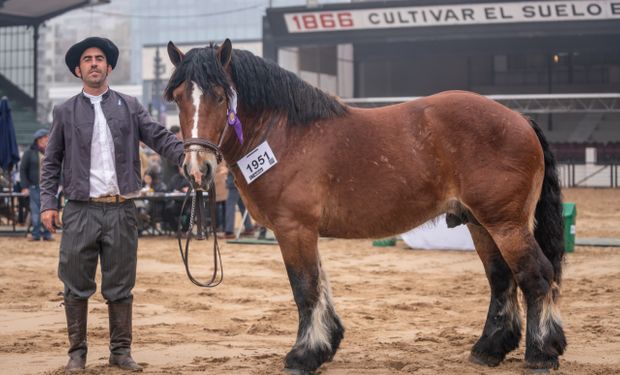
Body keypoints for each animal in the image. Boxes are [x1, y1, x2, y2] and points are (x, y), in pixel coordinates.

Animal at [163, 39, 568, 374]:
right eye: (179, 96)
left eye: (220, 96)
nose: (198, 168)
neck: (283, 134)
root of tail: (520, 119)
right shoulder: (304, 232)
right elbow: (320, 286)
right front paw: (325, 346)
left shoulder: (293, 228)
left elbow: (305, 288)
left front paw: (303, 356)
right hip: (480, 224)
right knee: (501, 280)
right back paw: (489, 349)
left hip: (506, 224)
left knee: (535, 275)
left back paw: (540, 354)